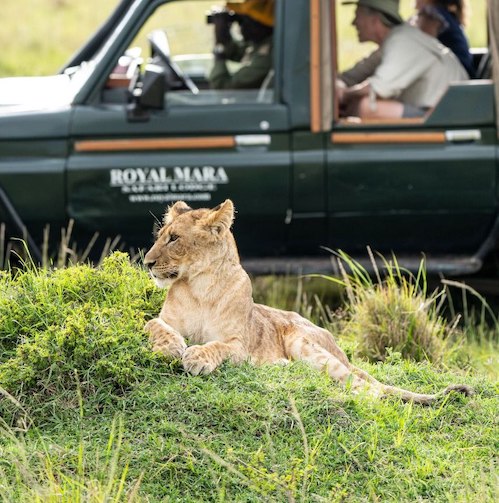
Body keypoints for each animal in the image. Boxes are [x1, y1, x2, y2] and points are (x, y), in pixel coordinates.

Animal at [144, 201, 472, 406]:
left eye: (174, 238)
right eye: (160, 236)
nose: (147, 263)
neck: (200, 285)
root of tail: (342, 351)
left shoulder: (240, 344)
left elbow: (217, 346)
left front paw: (197, 356)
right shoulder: (164, 320)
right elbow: (155, 324)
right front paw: (172, 346)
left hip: (304, 343)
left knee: (367, 388)